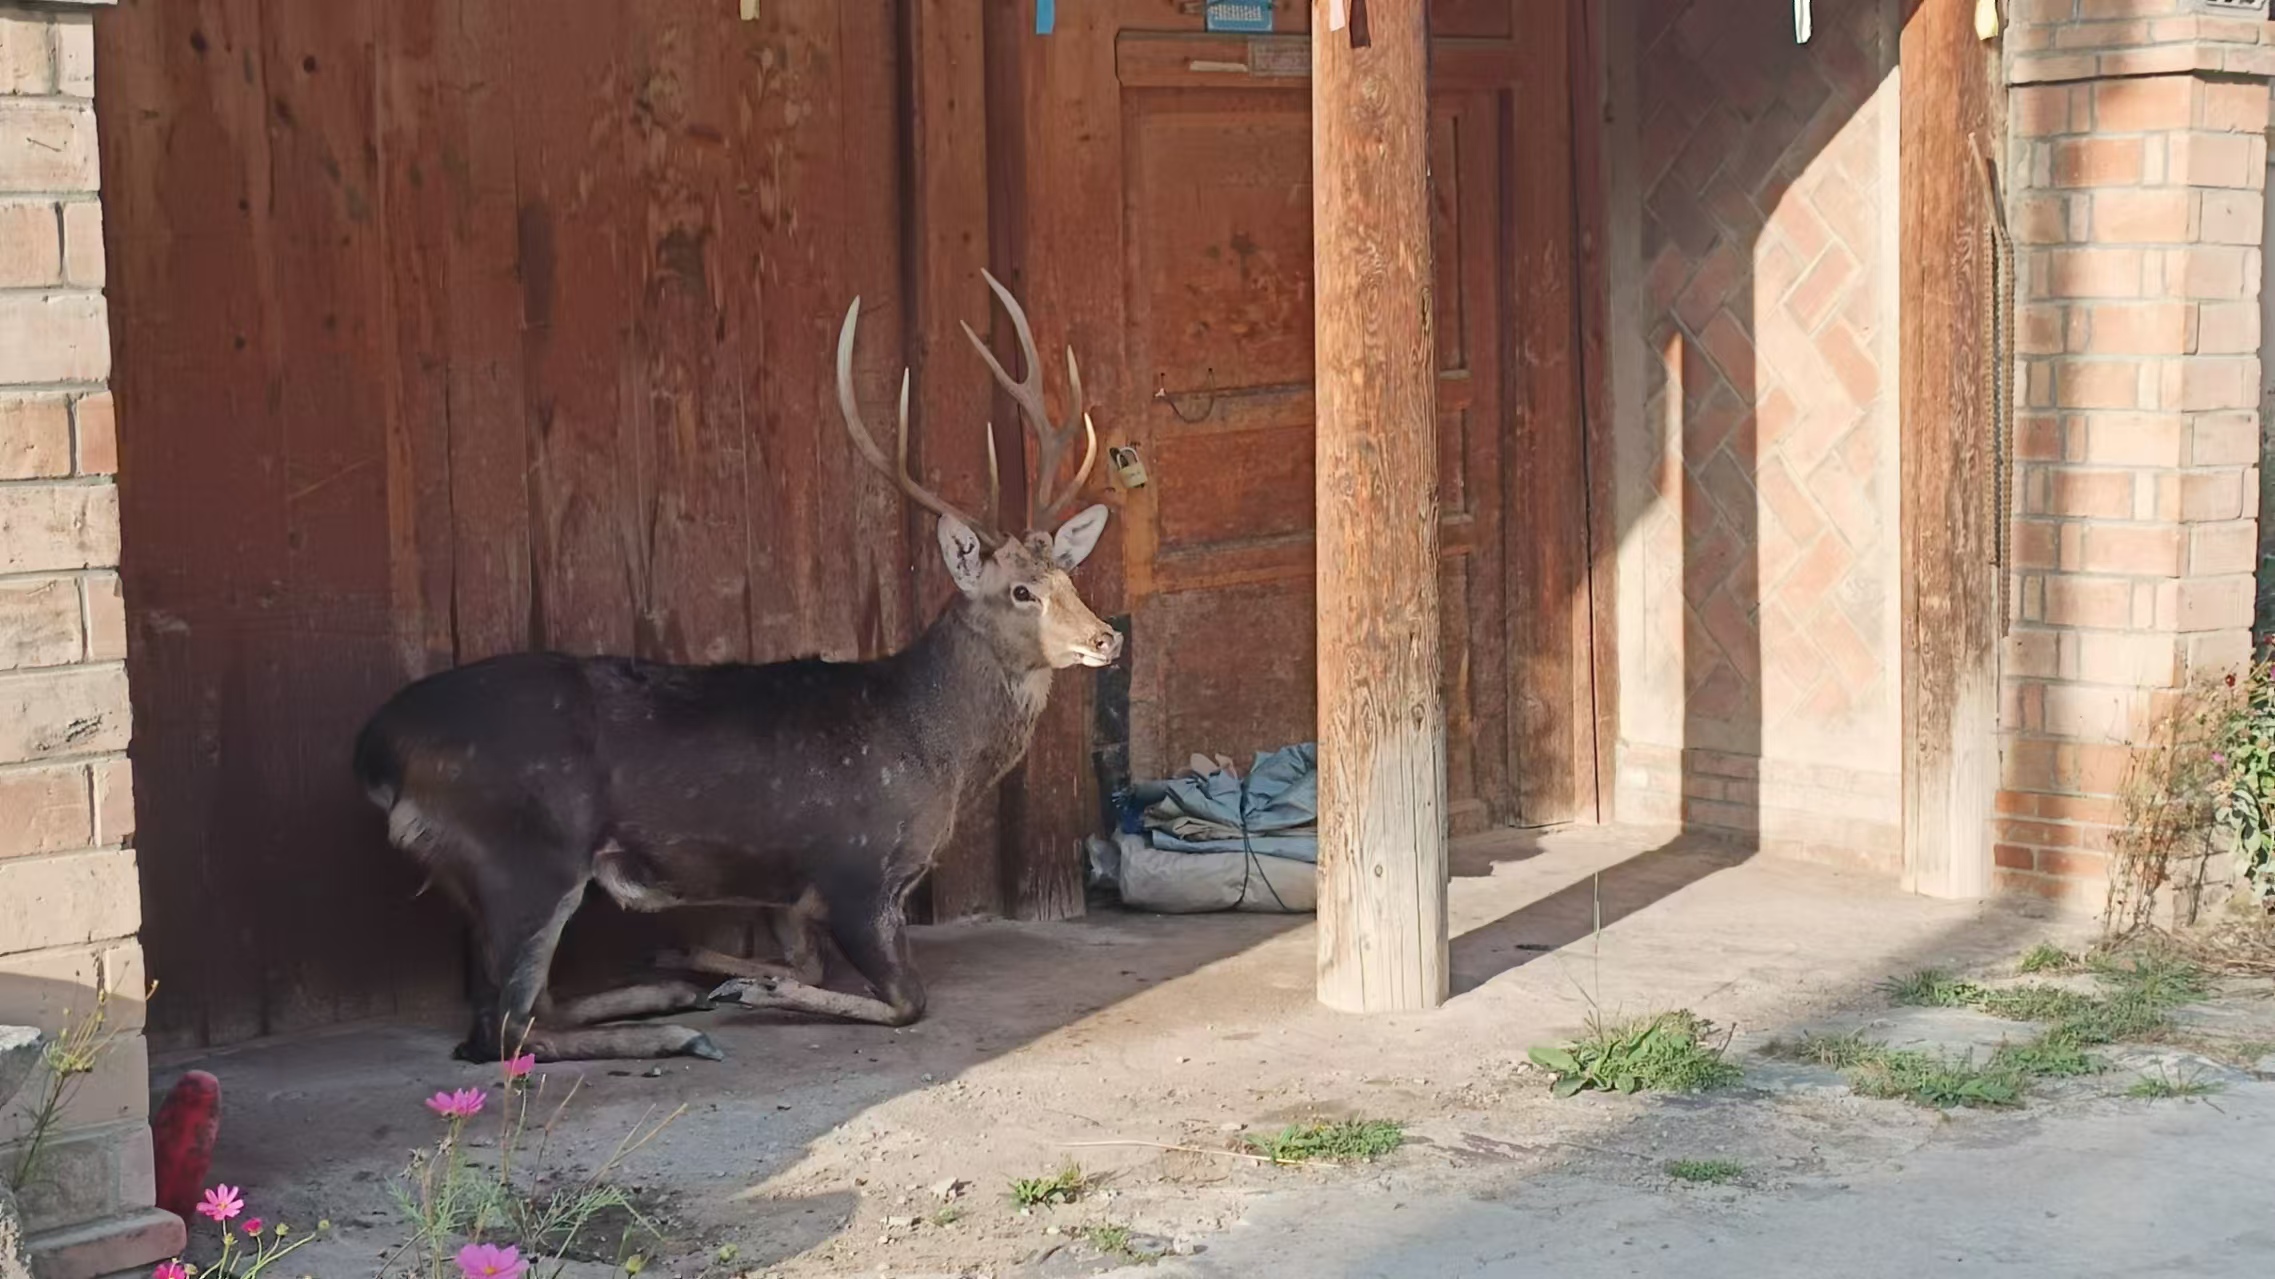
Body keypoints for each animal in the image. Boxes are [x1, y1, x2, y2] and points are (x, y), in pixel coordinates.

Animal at [352, 274, 1119, 1060]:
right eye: (1020, 591)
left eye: (1067, 575)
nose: (1106, 637)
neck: (933, 751)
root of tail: (378, 750)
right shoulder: (856, 871)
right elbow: (907, 1000)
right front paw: (750, 987)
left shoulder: (790, 891)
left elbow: (799, 959)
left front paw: (709, 964)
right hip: (525, 851)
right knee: (501, 1030)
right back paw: (679, 1031)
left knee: (535, 1008)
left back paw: (667, 992)